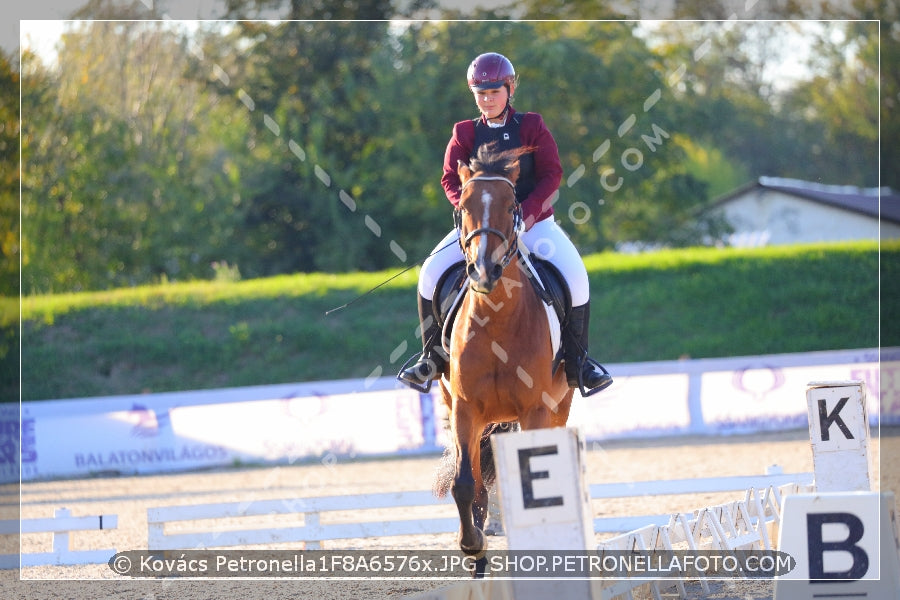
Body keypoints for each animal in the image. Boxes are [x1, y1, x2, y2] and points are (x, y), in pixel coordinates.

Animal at [432, 143, 572, 580]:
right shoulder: (465, 409)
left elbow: (535, 475)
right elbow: (465, 483)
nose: (484, 269)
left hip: (558, 406)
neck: (495, 317)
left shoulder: (535, 410)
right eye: (464, 205)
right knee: (478, 481)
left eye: (512, 205)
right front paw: (473, 547)